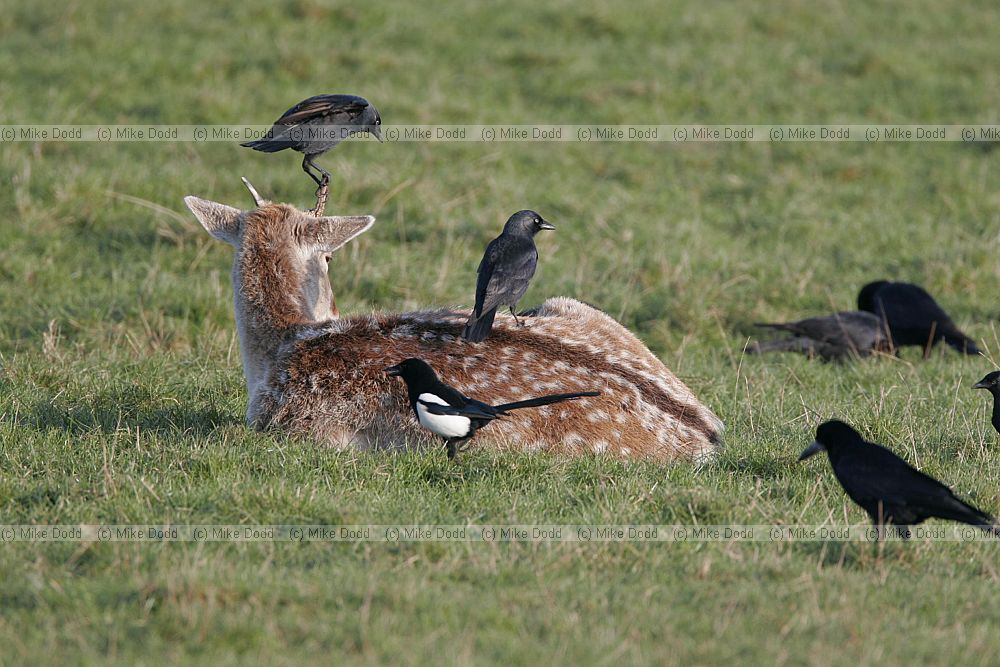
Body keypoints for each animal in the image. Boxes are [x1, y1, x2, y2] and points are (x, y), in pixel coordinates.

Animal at [183, 179, 724, 462]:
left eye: (330, 260)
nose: (331, 308)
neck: (280, 350)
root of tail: (708, 435)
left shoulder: (299, 433)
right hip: (573, 305)